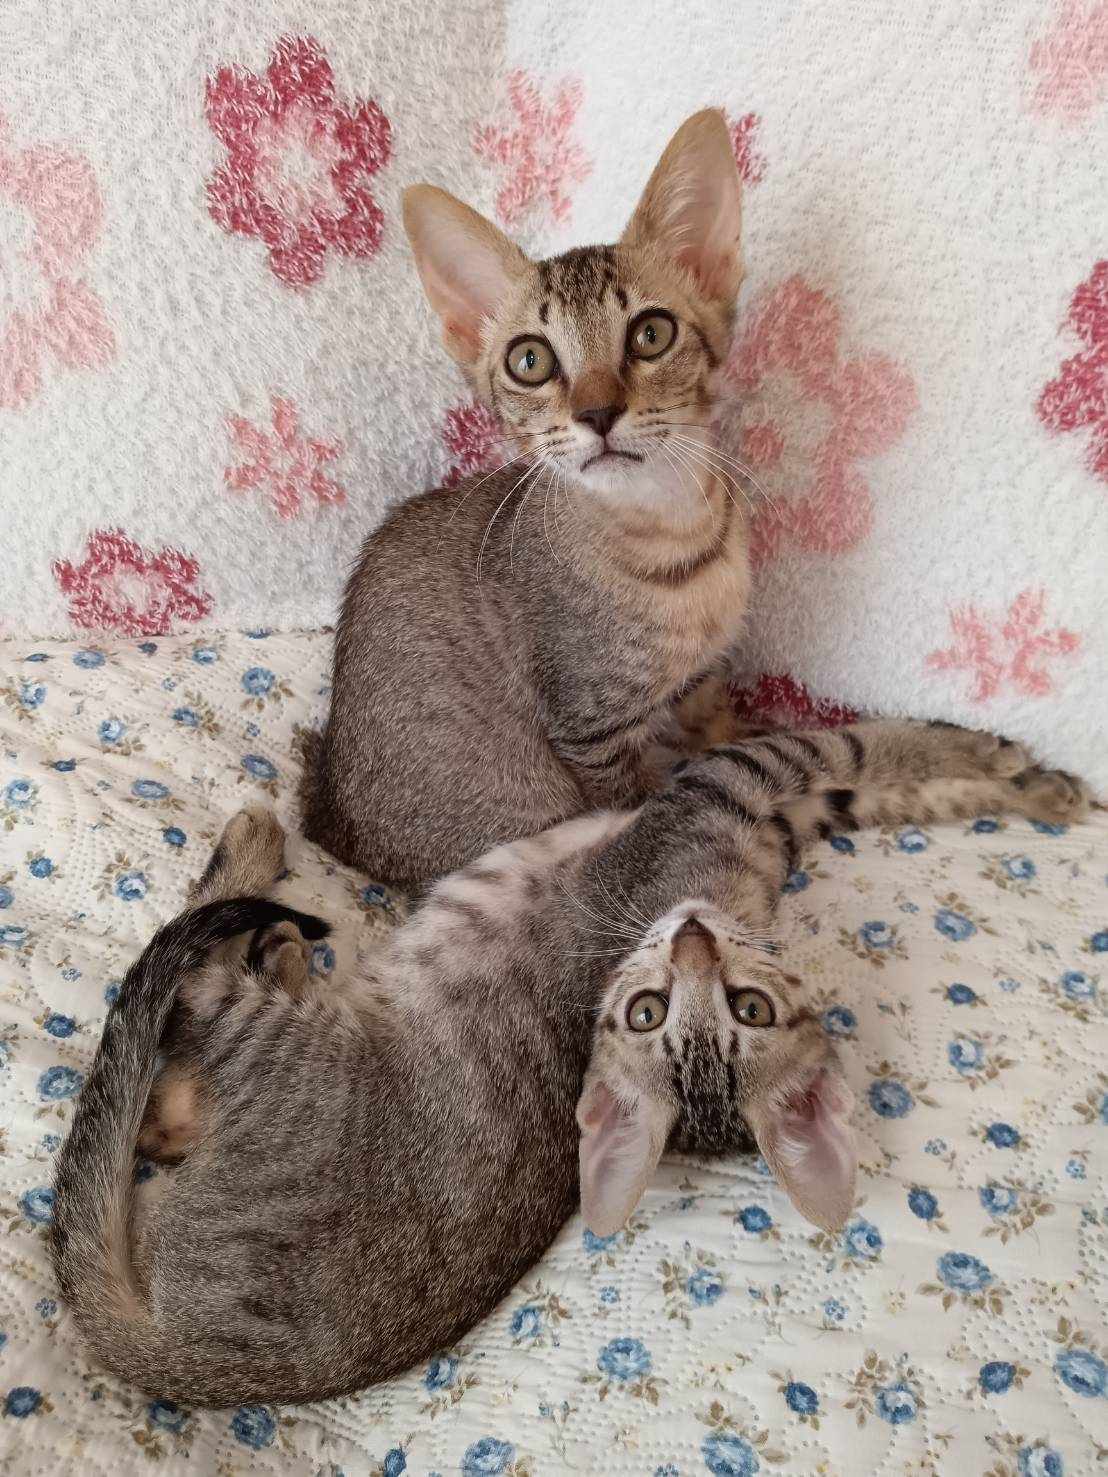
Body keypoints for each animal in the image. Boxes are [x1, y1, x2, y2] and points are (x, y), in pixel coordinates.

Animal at [52, 719, 1088, 1407]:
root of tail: (217, 1363)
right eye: (651, 1009)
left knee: (187, 985)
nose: (692, 940)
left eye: (741, 1010)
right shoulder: (753, 805)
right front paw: (1020, 775)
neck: (730, 892)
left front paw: (1000, 770)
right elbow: (879, 767)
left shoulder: (735, 791)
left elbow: (856, 755)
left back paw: (261, 878)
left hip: (266, 1036)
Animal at [300, 109, 754, 889]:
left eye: (652, 333)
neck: (675, 539)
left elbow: (718, 727)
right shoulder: (589, 728)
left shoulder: (705, 677)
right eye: (530, 360)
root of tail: (333, 824)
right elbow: (636, 801)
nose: (598, 412)